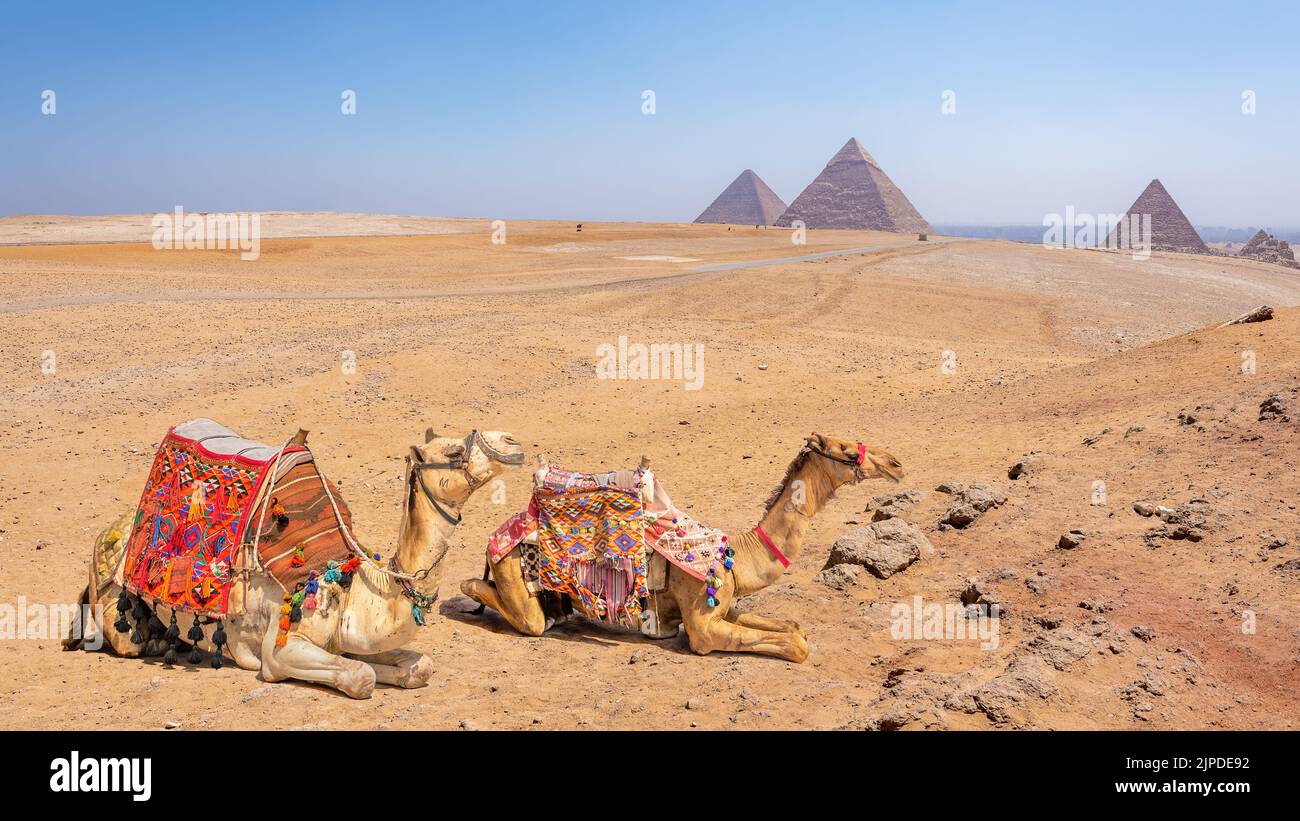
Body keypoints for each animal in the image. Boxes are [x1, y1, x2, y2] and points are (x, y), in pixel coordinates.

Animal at [64, 426, 522, 696]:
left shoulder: (346, 638)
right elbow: (360, 676)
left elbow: (415, 666)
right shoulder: (280, 645)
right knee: (124, 637)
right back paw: (159, 642)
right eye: (454, 451)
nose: (512, 443)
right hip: (112, 599)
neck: (351, 583)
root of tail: (108, 531)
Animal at [462, 433, 899, 665]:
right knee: (504, 604)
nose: (894, 463)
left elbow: (792, 627)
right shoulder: (702, 629)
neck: (736, 556)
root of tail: (497, 534)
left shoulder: (727, 607)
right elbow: (796, 645)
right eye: (847, 451)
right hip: (513, 573)